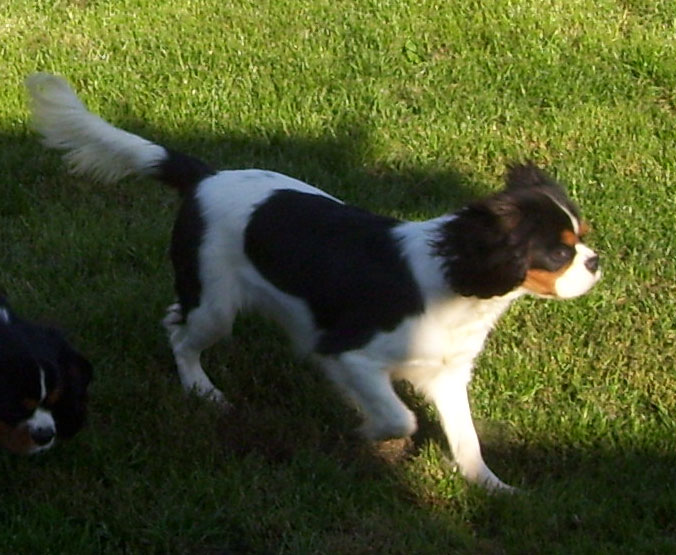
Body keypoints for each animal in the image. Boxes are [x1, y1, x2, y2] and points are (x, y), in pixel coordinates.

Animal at [26, 73, 600, 489]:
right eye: (557, 254)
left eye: (582, 239)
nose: (595, 262)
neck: (457, 284)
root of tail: (206, 177)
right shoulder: (350, 353)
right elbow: (400, 419)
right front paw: (368, 431)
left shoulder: (446, 374)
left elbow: (465, 437)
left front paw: (491, 488)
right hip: (215, 304)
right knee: (180, 332)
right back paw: (202, 389)